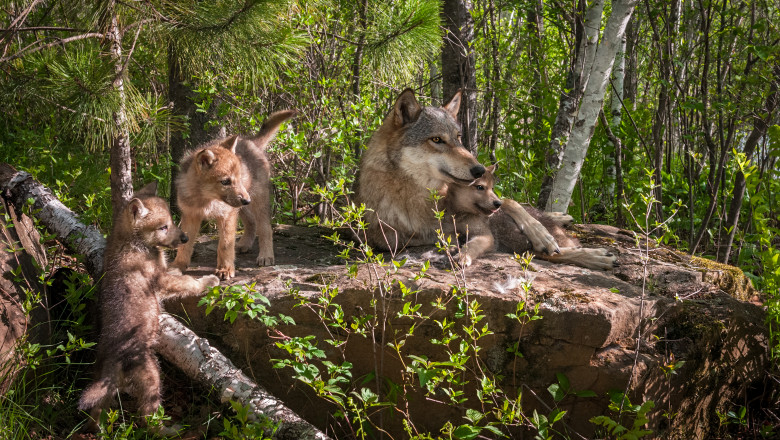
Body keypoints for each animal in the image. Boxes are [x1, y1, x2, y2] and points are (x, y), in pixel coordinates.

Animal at [79, 182, 218, 434]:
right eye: (163, 226)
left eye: (172, 221)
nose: (185, 238)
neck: (131, 242)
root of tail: (113, 361)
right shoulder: (159, 281)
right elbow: (188, 283)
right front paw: (209, 281)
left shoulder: (163, 274)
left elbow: (176, 273)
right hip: (152, 374)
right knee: (148, 418)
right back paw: (171, 430)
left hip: (104, 387)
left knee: (97, 412)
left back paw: (98, 429)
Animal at [172, 109, 294, 278]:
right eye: (225, 182)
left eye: (238, 177)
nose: (246, 200)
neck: (205, 200)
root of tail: (251, 142)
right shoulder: (191, 215)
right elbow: (185, 245)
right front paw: (178, 266)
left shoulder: (226, 216)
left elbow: (224, 245)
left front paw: (225, 269)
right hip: (240, 207)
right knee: (251, 222)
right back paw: (243, 245)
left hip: (257, 201)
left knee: (265, 228)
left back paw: (266, 256)